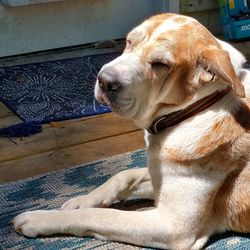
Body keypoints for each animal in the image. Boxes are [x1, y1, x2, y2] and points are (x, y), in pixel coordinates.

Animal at [13, 13, 250, 250]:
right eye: (128, 42)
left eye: (160, 64)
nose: (104, 80)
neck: (195, 109)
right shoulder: (158, 176)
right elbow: (123, 175)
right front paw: (81, 201)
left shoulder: (173, 226)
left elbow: (100, 216)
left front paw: (39, 219)